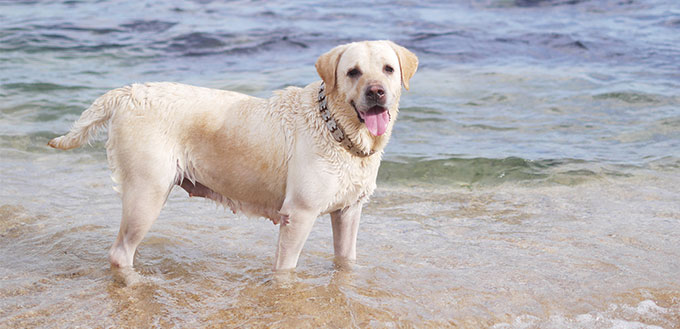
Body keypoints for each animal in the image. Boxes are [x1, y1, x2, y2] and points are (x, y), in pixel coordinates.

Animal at [47, 40, 418, 270]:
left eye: (388, 69)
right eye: (353, 72)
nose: (377, 92)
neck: (337, 128)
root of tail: (129, 93)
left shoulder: (348, 212)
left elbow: (345, 259)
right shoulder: (299, 215)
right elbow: (286, 268)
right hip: (147, 192)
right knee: (120, 252)